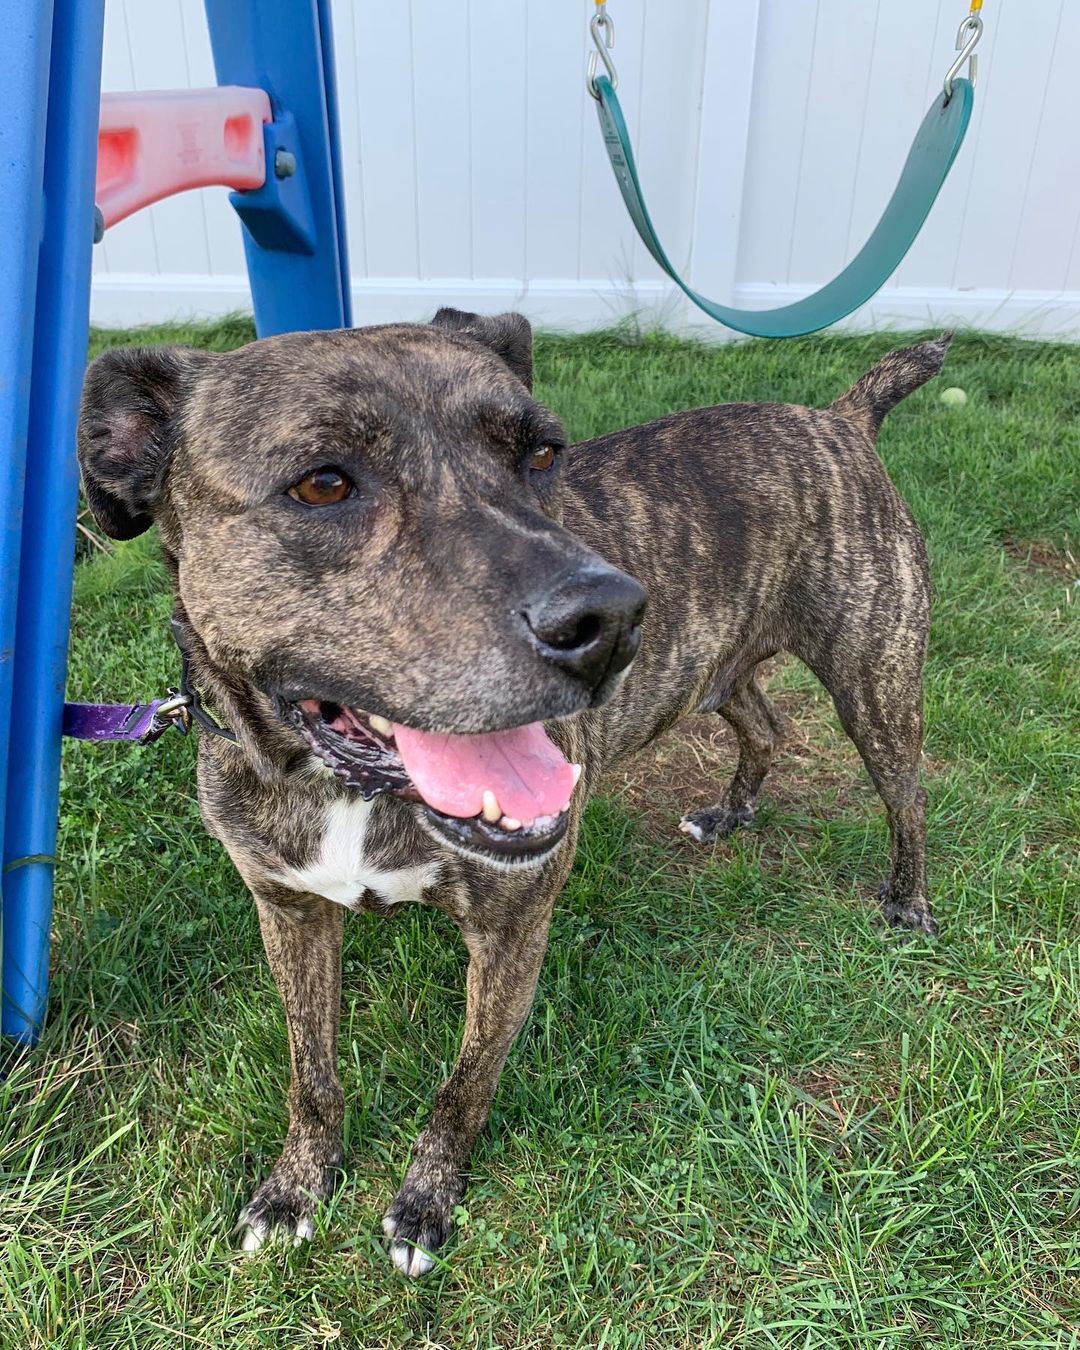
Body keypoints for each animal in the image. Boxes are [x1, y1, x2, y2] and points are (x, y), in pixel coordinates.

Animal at [75, 313, 950, 1274]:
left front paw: (424, 1202)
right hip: (718, 670)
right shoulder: (290, 913)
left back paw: (908, 900)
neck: (343, 788)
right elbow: (313, 1071)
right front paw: (297, 1186)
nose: (608, 619)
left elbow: (464, 1082)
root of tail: (839, 419)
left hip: (873, 679)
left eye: (541, 453)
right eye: (322, 484)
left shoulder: (510, 931)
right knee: (765, 724)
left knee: (905, 794)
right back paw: (730, 809)